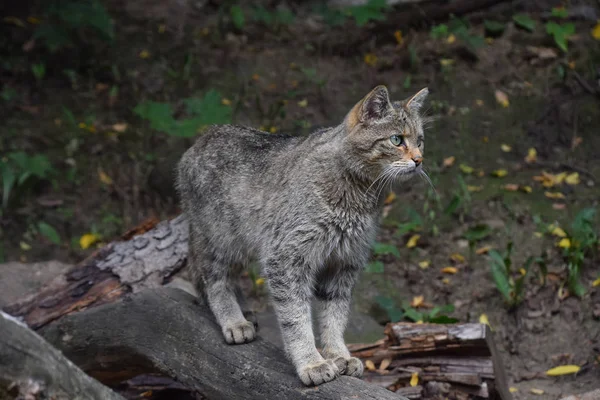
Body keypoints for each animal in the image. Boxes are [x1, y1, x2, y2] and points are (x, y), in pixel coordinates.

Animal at [176, 85, 428, 388]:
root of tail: (200, 140)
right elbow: (296, 318)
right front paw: (311, 362)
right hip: (220, 239)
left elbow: (335, 316)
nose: (419, 160)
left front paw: (338, 354)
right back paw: (233, 320)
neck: (358, 194)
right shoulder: (286, 258)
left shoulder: (344, 263)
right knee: (213, 278)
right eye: (396, 139)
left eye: (421, 141)